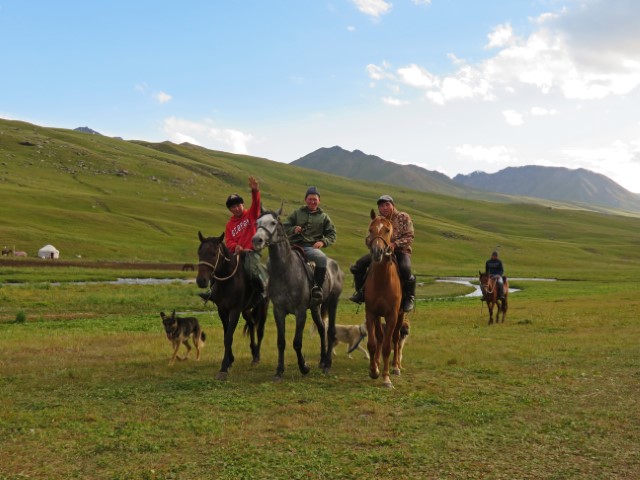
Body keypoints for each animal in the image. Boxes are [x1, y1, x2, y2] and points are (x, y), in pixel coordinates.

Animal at [194, 231, 266, 380]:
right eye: (199, 253)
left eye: (213, 254)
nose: (201, 281)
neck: (228, 281)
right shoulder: (222, 310)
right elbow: (226, 334)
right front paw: (229, 361)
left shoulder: (235, 311)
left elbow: (228, 337)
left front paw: (223, 368)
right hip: (246, 310)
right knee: (251, 324)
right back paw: (253, 351)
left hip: (262, 307)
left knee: (260, 330)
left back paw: (257, 357)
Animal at [254, 208, 344, 380]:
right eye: (257, 222)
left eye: (273, 222)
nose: (257, 240)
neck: (285, 270)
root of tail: (335, 265)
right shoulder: (279, 311)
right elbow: (281, 342)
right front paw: (279, 371)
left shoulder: (300, 312)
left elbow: (296, 342)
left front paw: (304, 367)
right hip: (316, 307)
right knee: (322, 328)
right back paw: (322, 361)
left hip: (333, 303)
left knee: (331, 331)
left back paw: (327, 365)